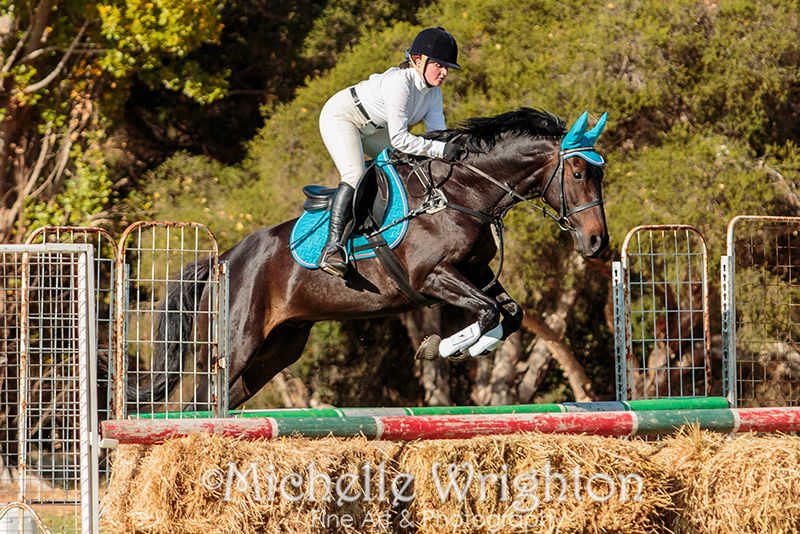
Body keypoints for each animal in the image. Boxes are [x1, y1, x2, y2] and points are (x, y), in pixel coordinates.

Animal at [131, 108, 608, 410]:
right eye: (578, 173)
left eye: (599, 174)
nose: (597, 243)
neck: (463, 193)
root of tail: (223, 260)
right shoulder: (432, 278)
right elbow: (490, 311)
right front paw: (440, 347)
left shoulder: (476, 270)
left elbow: (510, 313)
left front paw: (463, 347)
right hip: (236, 345)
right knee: (198, 402)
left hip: (275, 350)